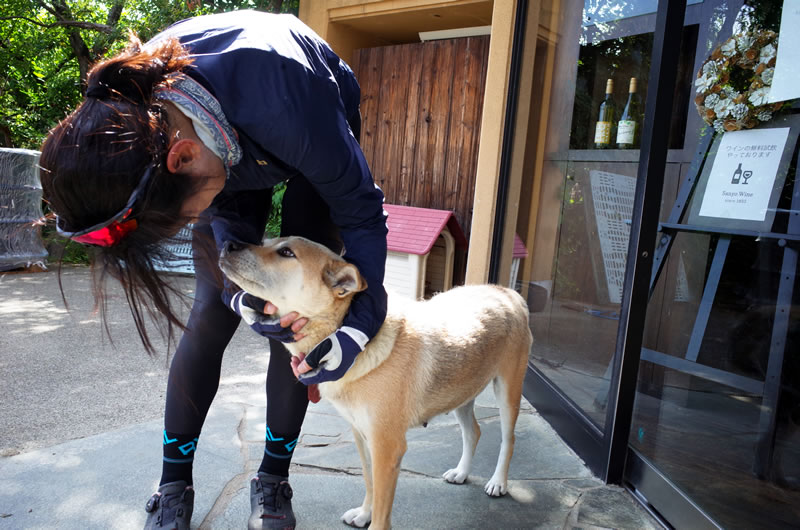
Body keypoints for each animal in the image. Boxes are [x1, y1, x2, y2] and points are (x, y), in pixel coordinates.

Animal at [219, 236, 532, 528]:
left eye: (286, 252)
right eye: (267, 242)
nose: (228, 244)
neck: (347, 337)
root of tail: (506, 292)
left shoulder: (387, 447)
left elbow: (382, 509)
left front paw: (373, 518)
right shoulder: (363, 436)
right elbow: (370, 483)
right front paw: (364, 513)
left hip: (507, 393)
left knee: (509, 439)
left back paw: (498, 482)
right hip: (461, 394)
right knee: (473, 432)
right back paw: (462, 472)